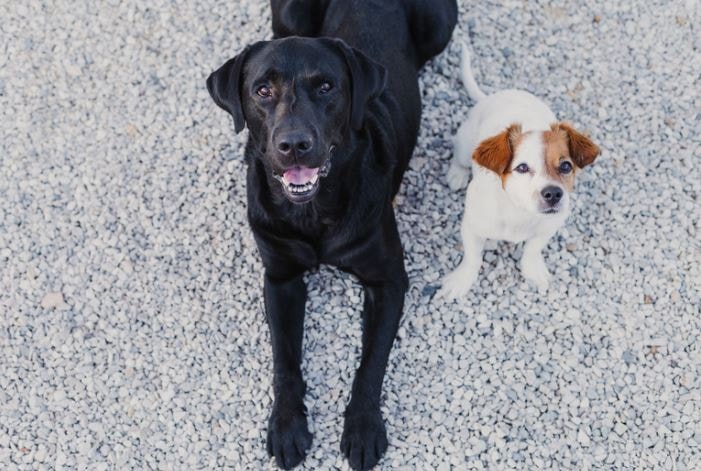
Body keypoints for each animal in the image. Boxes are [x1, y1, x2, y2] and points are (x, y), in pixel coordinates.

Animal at [206, 1, 460, 470]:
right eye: (262, 90)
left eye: (326, 86)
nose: (294, 145)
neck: (313, 214)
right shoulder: (280, 278)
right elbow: (284, 360)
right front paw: (286, 425)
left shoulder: (388, 280)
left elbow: (371, 361)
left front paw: (363, 426)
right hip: (286, 16)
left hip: (439, 26)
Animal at [438, 41, 596, 298]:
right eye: (522, 167)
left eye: (565, 166)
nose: (554, 194)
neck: (518, 211)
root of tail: (495, 96)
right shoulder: (471, 227)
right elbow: (472, 258)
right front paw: (461, 281)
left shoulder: (550, 225)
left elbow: (532, 249)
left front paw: (533, 271)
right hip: (464, 145)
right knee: (459, 158)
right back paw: (457, 174)